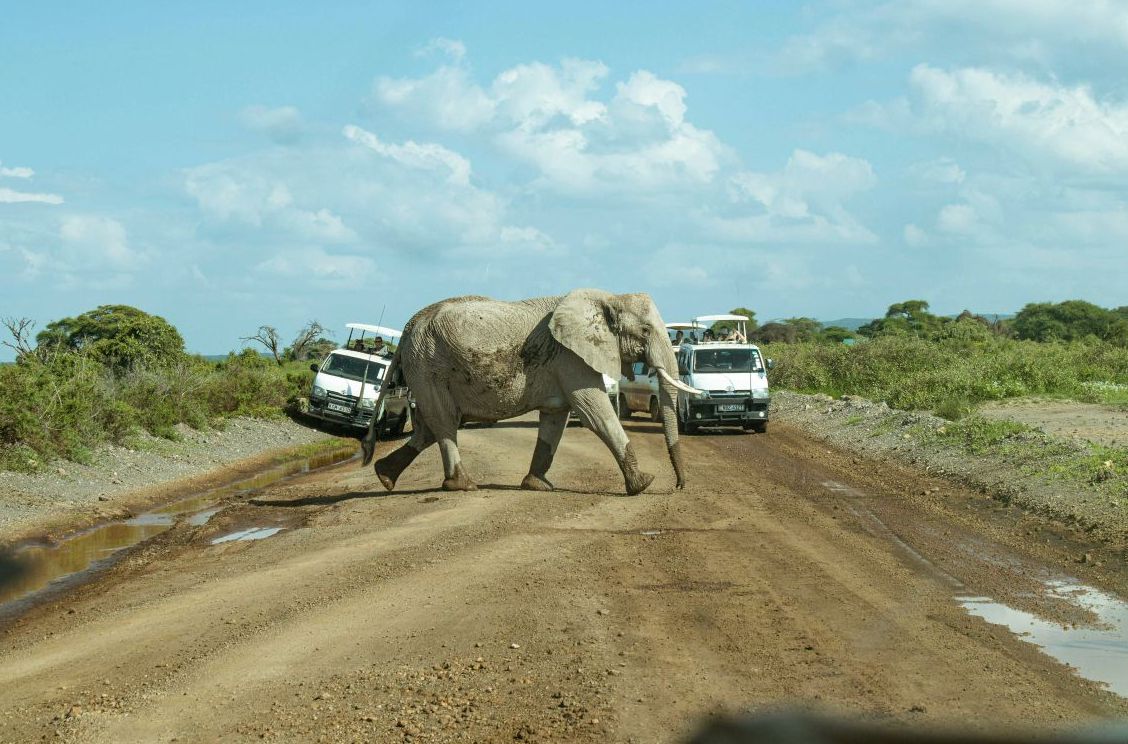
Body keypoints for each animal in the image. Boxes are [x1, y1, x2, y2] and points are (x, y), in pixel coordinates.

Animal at [360, 289, 702, 495]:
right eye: (645, 331)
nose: (678, 487)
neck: (607, 298)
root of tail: (409, 326)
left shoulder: (561, 364)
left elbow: (554, 421)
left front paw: (538, 485)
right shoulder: (570, 358)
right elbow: (596, 414)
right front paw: (643, 485)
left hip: (424, 368)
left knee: (431, 427)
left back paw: (384, 476)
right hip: (428, 365)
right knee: (444, 422)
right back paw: (463, 486)